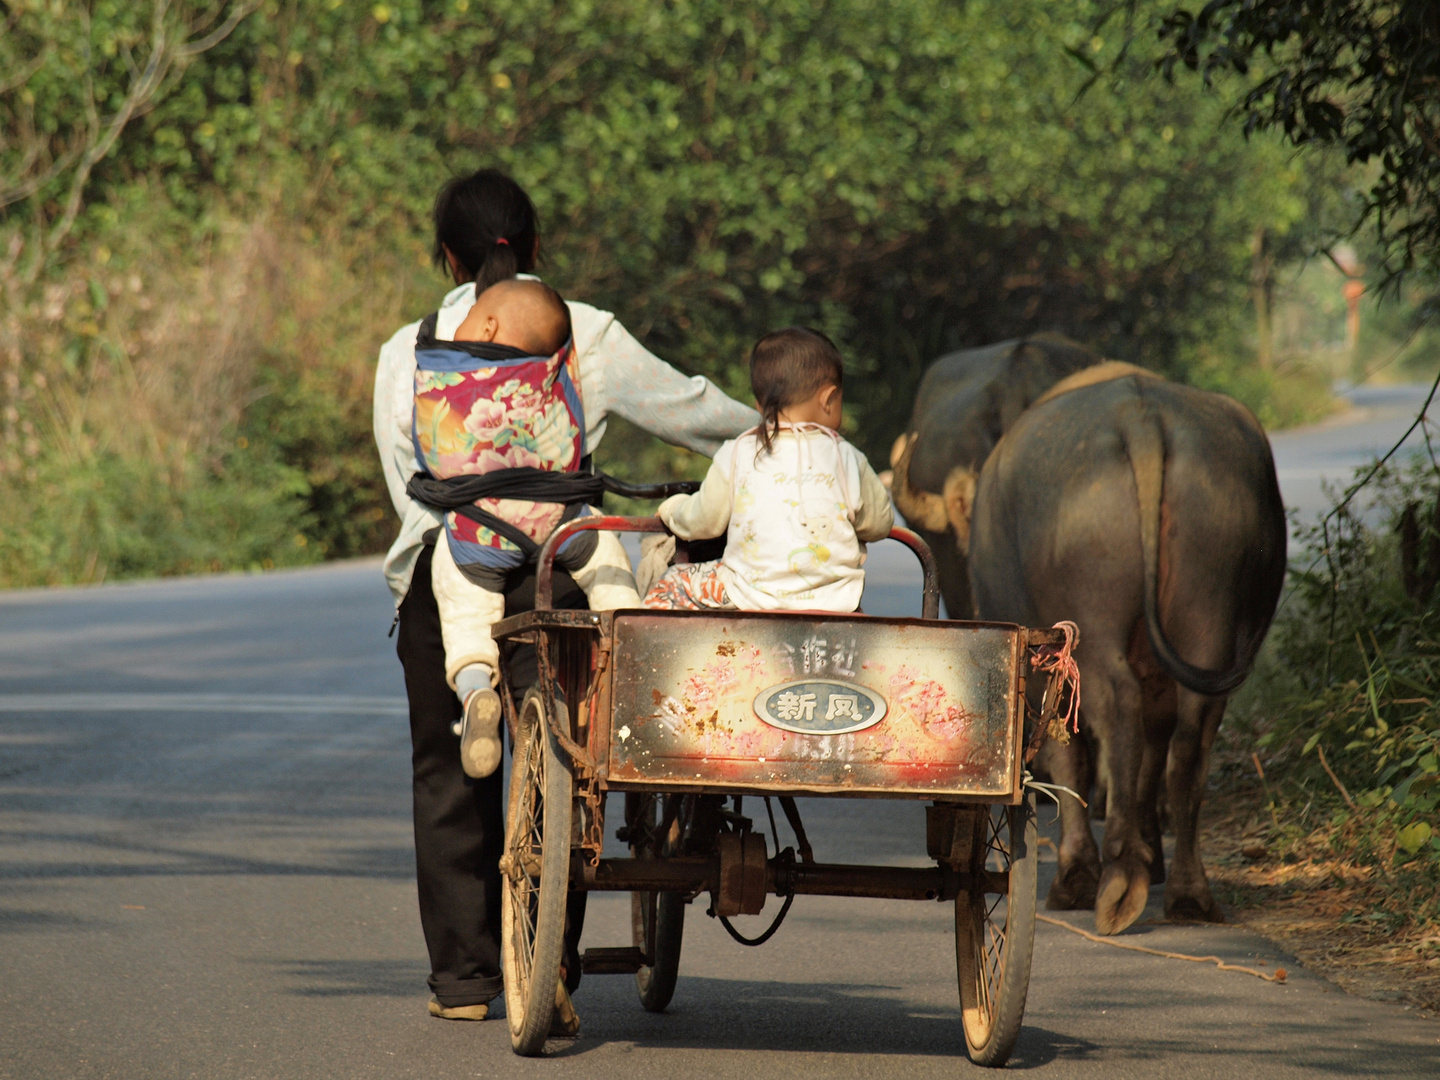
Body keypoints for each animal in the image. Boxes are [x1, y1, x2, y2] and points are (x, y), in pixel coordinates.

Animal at [967, 368, 1284, 933]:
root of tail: (1141, 417)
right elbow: (1151, 755)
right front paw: (1150, 853)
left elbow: (1070, 755)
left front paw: (1080, 873)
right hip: (1210, 606)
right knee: (1188, 745)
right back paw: (1186, 891)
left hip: (1092, 618)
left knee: (1116, 712)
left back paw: (1113, 876)